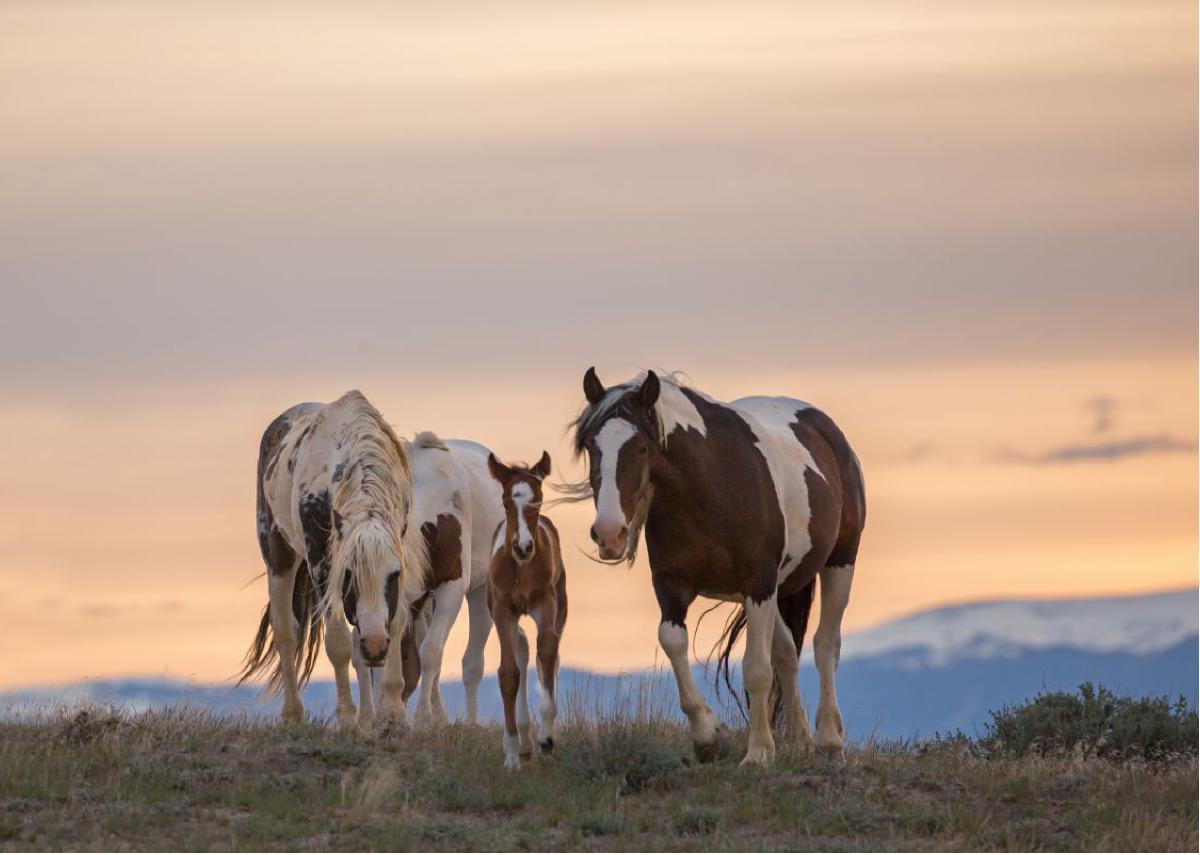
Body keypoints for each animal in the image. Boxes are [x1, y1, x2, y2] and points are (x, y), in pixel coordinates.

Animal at [350, 437, 504, 725]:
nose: (384, 715)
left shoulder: (452, 589)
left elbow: (430, 652)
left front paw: (422, 717)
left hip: (480, 590)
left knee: (472, 662)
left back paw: (469, 722)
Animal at [482, 451, 566, 773]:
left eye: (538, 501)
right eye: (506, 501)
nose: (522, 547)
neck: (520, 570)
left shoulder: (546, 603)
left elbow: (547, 653)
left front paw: (546, 738)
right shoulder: (502, 609)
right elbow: (509, 673)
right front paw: (511, 754)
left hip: (561, 603)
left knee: (547, 654)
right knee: (521, 646)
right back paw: (524, 742)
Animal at [566, 365, 868, 763]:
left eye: (643, 446)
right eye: (590, 446)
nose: (609, 533)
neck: (711, 489)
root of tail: (827, 429)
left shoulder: (758, 584)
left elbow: (756, 668)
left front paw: (758, 753)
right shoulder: (672, 586)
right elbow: (672, 641)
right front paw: (710, 736)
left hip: (838, 564)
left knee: (825, 646)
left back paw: (830, 740)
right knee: (787, 652)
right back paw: (800, 738)